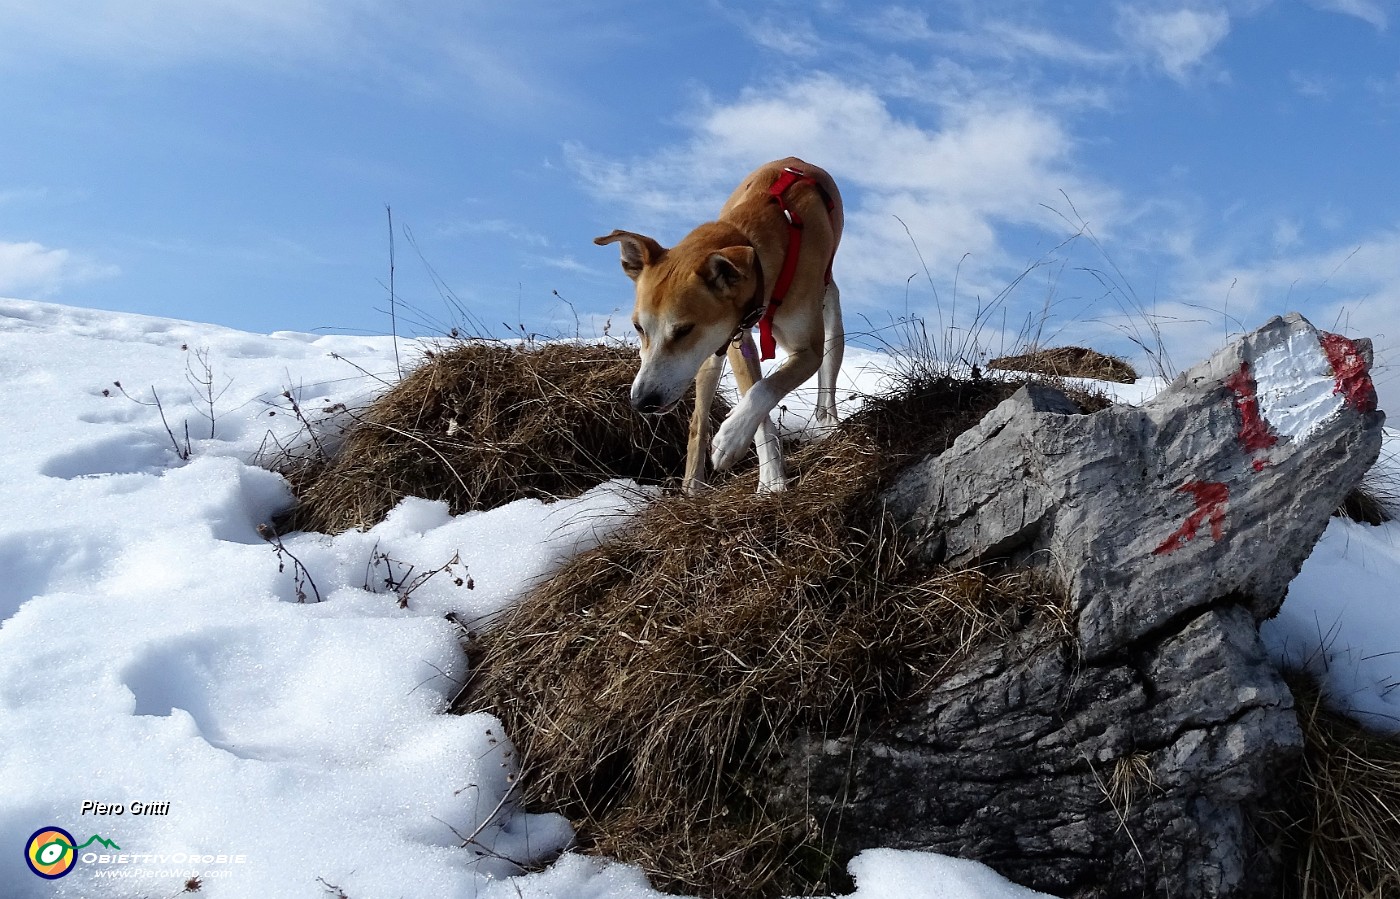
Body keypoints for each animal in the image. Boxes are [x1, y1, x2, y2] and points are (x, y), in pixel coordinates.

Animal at [590, 154, 840, 490]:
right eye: (638, 328)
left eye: (684, 330)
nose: (642, 401)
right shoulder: (736, 338)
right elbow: (757, 398)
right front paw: (769, 475)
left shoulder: (808, 350)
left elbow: (764, 389)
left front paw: (733, 440)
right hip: (709, 357)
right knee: (698, 420)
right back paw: (692, 487)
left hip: (830, 316)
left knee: (828, 371)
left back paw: (827, 420)